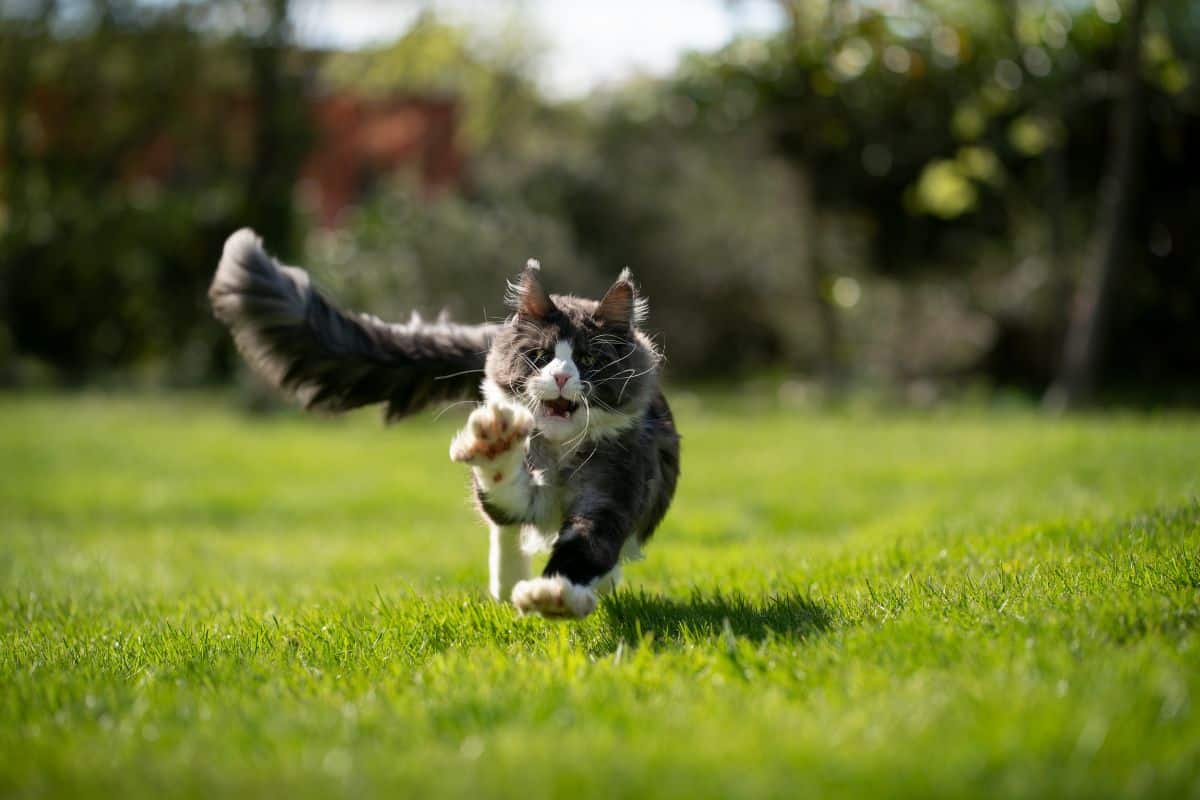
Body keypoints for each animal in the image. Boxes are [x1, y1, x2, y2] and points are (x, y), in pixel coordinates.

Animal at [211, 230, 681, 618]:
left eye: (587, 359)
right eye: (541, 357)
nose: (563, 377)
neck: (560, 455)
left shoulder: (610, 495)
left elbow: (583, 546)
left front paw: (555, 594)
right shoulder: (526, 494)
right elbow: (504, 494)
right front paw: (494, 444)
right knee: (506, 534)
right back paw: (508, 585)